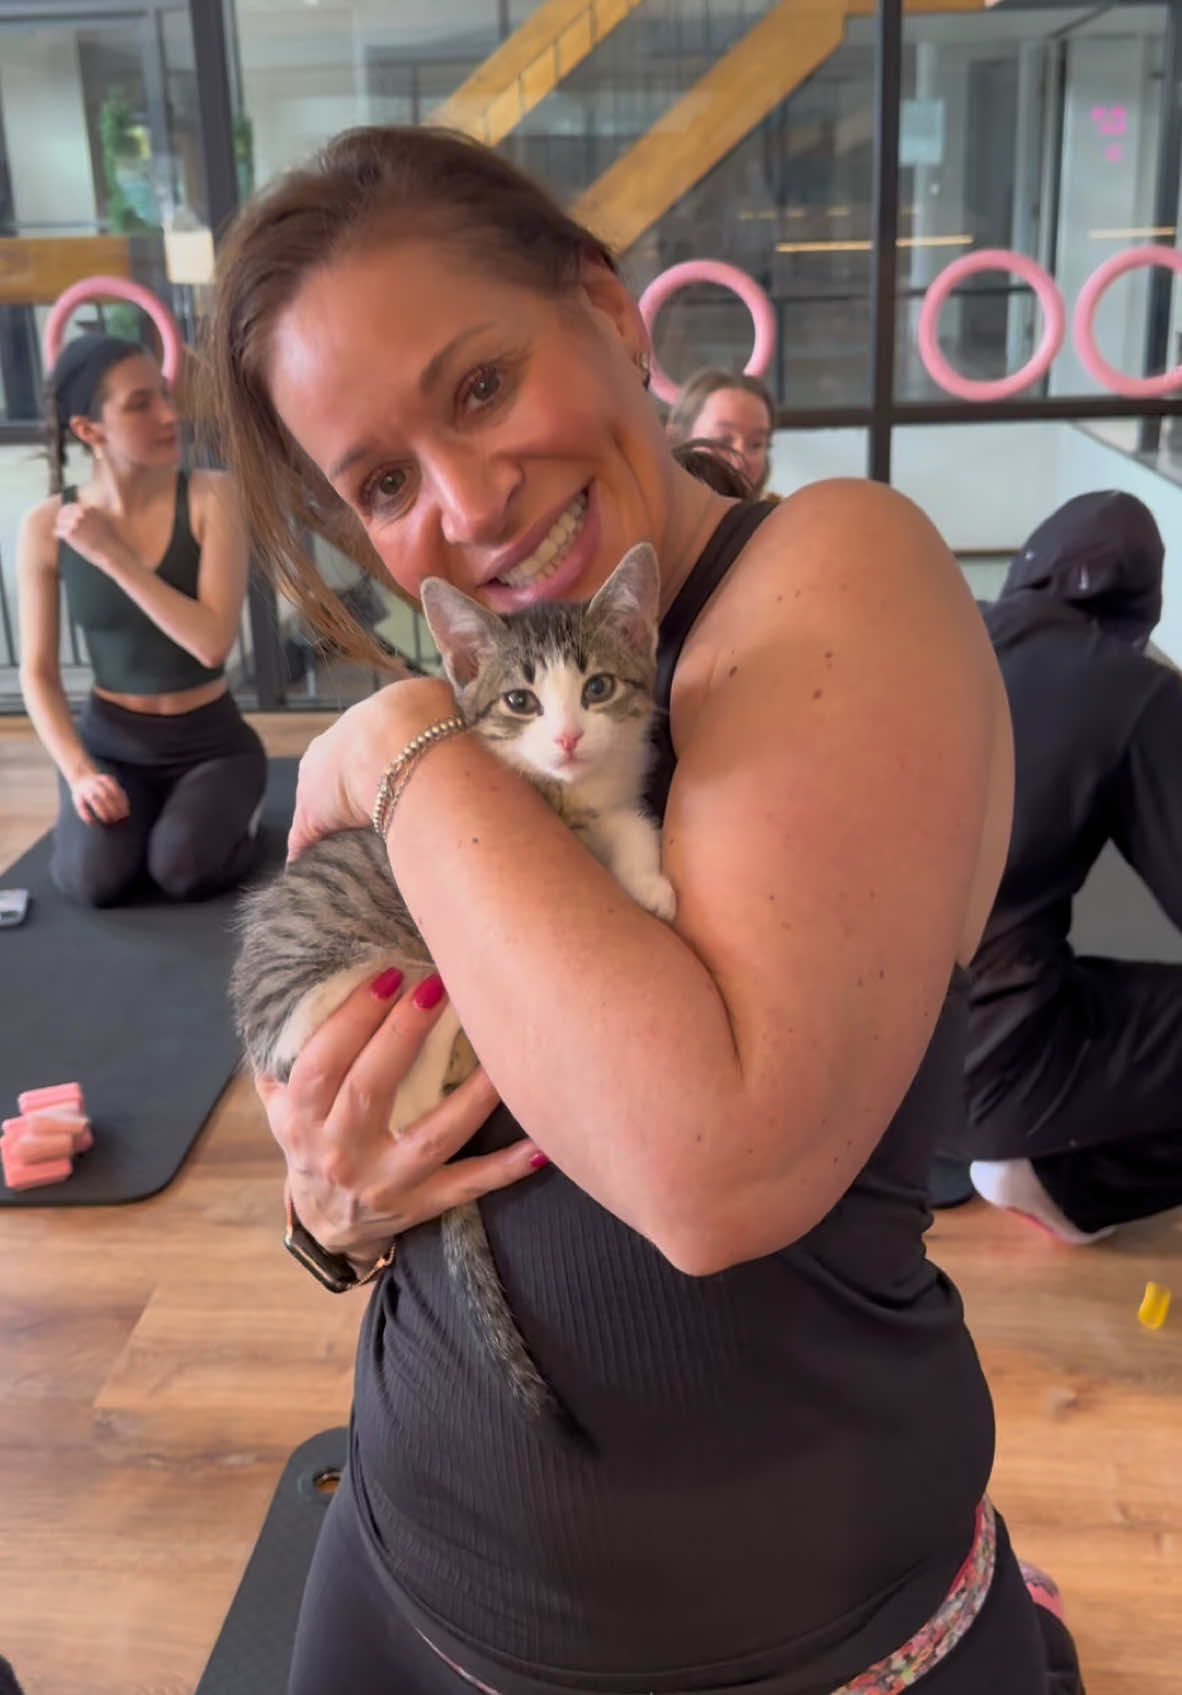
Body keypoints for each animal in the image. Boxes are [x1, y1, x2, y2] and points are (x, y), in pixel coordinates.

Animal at [230, 542, 671, 1417]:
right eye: (520, 700)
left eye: (598, 688)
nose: (567, 738)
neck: (570, 791)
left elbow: (627, 823)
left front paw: (648, 879)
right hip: (348, 982)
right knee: (411, 1063)